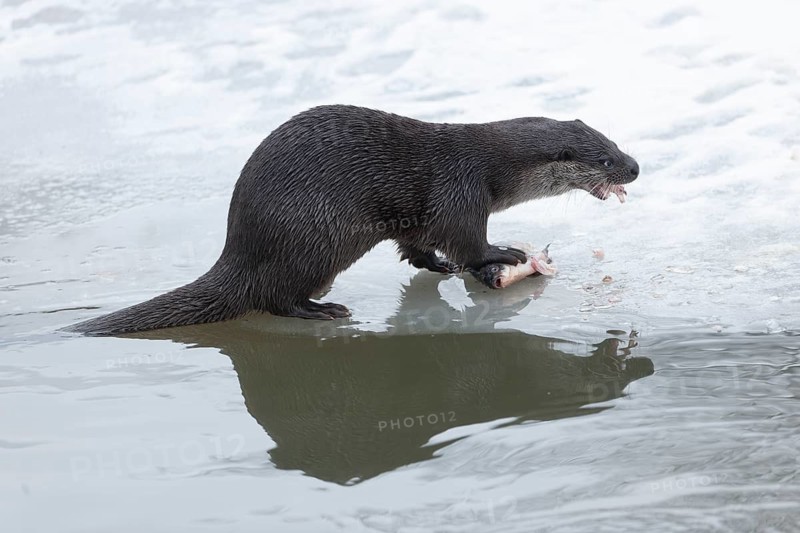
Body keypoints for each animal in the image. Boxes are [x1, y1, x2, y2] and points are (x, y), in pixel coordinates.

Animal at [68, 105, 639, 335]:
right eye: (605, 159)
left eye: (615, 142)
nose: (635, 166)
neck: (489, 166)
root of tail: (236, 254)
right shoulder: (463, 193)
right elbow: (466, 240)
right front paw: (503, 255)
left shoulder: (421, 217)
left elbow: (417, 245)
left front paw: (439, 267)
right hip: (312, 242)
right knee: (275, 297)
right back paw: (324, 311)